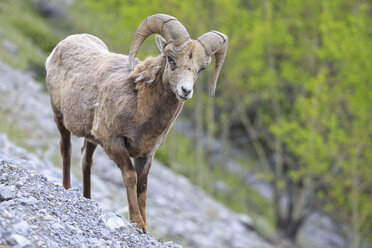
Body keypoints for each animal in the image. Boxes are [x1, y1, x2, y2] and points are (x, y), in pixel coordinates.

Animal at [45, 14, 228, 232]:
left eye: (201, 68)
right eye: (171, 59)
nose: (185, 91)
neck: (138, 104)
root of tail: (62, 44)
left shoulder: (146, 154)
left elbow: (143, 187)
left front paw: (146, 227)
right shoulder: (115, 143)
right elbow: (131, 177)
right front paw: (137, 222)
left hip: (91, 139)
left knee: (86, 161)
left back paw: (88, 198)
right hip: (59, 117)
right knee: (66, 149)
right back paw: (67, 187)